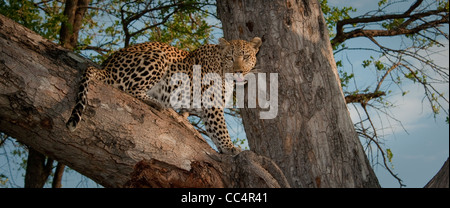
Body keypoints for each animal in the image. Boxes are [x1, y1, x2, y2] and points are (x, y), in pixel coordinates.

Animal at [67, 37, 264, 154]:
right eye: (230, 57)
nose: (238, 71)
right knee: (129, 87)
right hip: (158, 58)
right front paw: (230, 147)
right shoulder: (212, 103)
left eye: (246, 57)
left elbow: (212, 128)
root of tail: (107, 66)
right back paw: (158, 103)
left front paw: (224, 148)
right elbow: (221, 128)